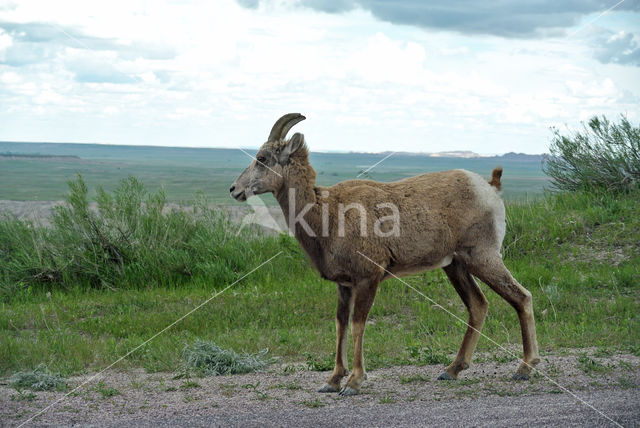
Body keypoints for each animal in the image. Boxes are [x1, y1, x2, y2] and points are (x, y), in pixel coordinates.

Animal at [230, 113, 540, 394]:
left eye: (263, 158)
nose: (234, 189)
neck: (327, 214)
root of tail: (489, 188)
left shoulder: (368, 278)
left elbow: (358, 325)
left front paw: (353, 383)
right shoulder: (345, 285)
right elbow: (341, 325)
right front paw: (332, 381)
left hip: (482, 258)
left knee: (522, 297)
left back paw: (524, 368)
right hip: (456, 266)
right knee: (478, 306)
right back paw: (451, 370)